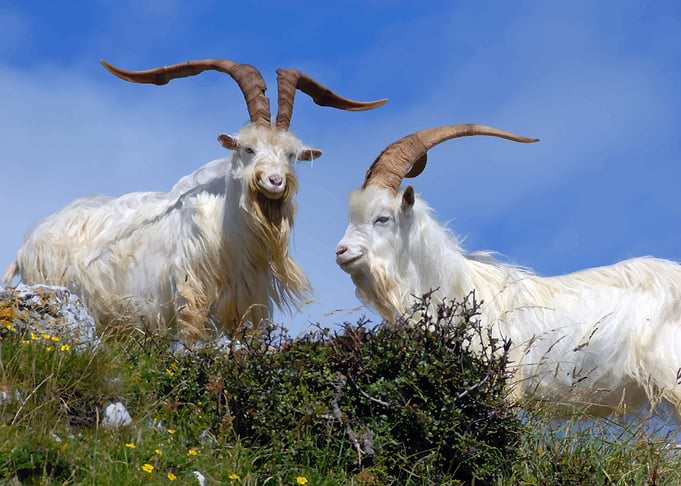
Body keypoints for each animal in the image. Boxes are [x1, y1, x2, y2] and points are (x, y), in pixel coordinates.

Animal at [4, 58, 387, 340]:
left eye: (291, 155)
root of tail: (25, 248)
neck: (227, 230)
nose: (275, 181)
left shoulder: (249, 307)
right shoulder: (190, 301)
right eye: (247, 149)